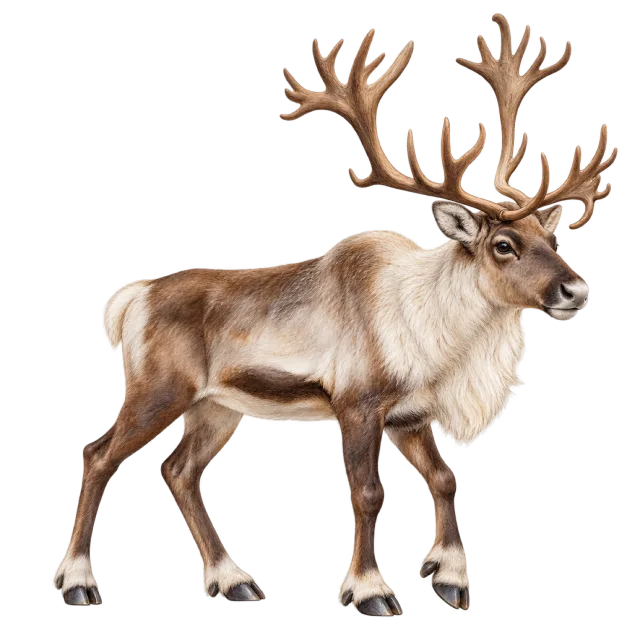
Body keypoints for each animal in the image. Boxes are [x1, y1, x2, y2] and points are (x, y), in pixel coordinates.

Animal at [53, 13, 616, 616]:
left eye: (553, 237)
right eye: (503, 245)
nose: (575, 290)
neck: (439, 338)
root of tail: (134, 298)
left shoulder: (410, 415)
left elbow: (443, 480)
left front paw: (450, 578)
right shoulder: (357, 403)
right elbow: (367, 493)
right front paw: (370, 589)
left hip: (218, 406)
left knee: (178, 470)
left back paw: (234, 579)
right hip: (159, 389)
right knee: (99, 456)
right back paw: (79, 581)